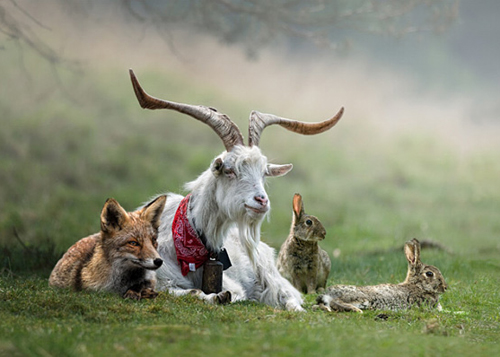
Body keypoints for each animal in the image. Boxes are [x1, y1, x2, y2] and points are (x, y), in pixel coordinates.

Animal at [129, 69, 344, 308]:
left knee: (288, 295)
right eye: (229, 170)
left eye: (263, 173)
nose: (262, 201)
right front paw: (214, 296)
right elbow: (187, 292)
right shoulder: (161, 278)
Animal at [314, 239, 448, 312]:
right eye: (429, 274)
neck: (418, 286)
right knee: (336, 302)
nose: (445, 287)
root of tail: (327, 293)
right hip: (360, 298)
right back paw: (356, 310)